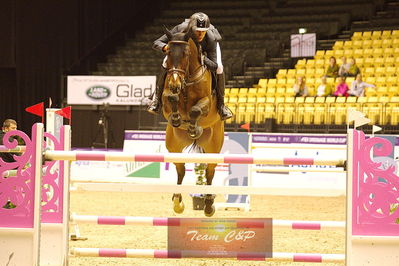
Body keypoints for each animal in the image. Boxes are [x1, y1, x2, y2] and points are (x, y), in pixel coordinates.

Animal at [162, 28, 225, 216]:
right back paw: (177, 201)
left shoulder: (207, 103)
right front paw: (177, 119)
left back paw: (209, 205)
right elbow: (172, 98)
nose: (175, 84)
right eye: (168, 52)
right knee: (180, 170)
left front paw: (193, 128)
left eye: (186, 53)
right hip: (173, 146)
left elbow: (195, 110)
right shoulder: (166, 98)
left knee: (210, 171)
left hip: (213, 147)